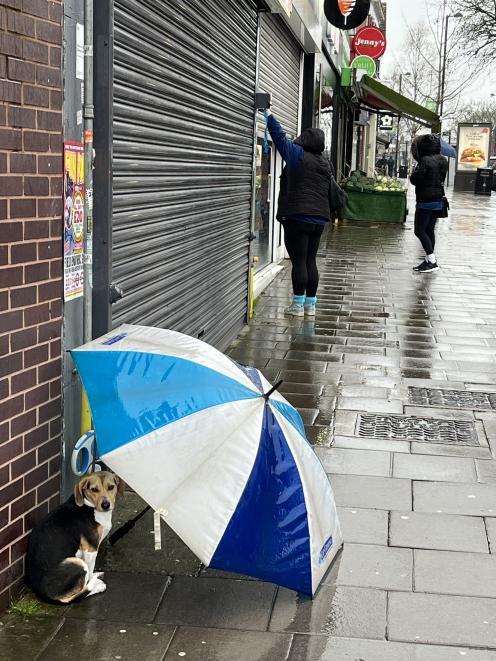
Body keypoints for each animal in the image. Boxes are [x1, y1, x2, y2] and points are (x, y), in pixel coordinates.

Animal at [25, 470, 123, 604]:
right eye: (94, 489)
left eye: (111, 487)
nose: (106, 505)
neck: (89, 506)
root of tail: (45, 596)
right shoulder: (91, 549)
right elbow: (90, 571)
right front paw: (93, 579)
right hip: (78, 563)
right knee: (75, 597)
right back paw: (98, 586)